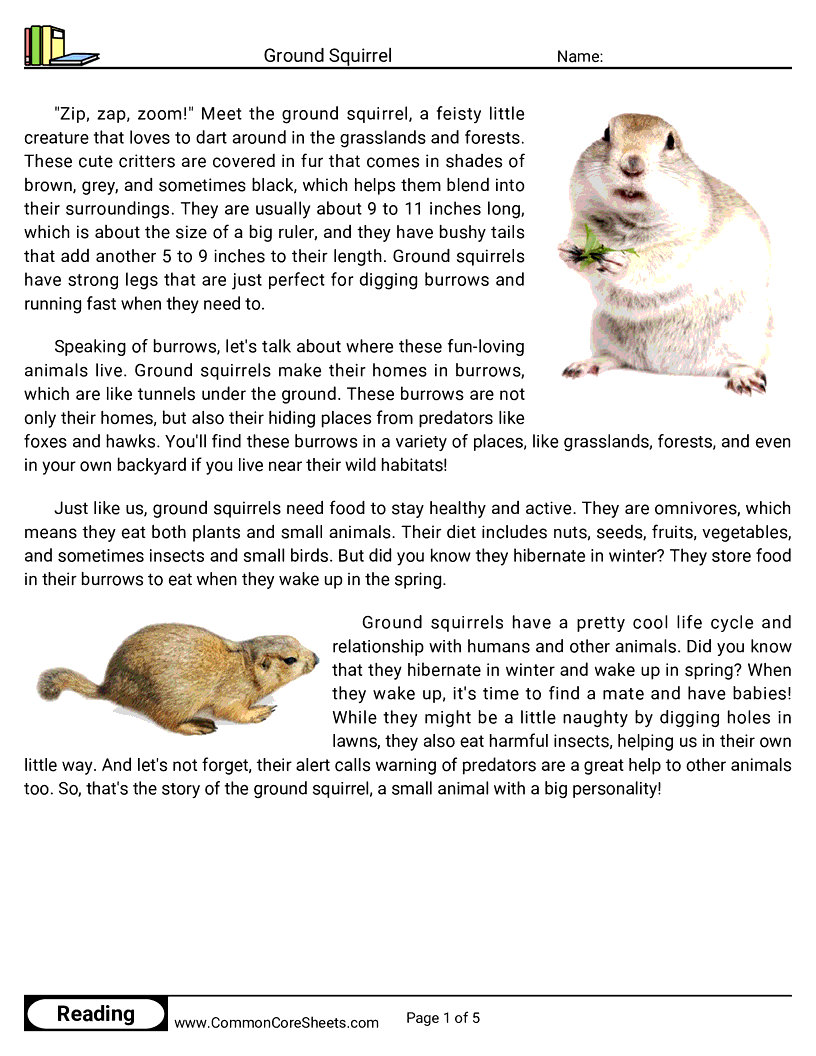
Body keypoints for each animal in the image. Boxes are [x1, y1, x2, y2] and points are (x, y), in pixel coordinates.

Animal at [37, 623, 318, 735]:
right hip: (173, 700)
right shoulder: (233, 691)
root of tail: (109, 687)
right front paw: (261, 711)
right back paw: (199, 725)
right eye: (290, 659)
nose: (317, 657)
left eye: (295, 638)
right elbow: (230, 710)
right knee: (168, 722)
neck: (245, 665)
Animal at [558, 113, 772, 394]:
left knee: (741, 364)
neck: (629, 222)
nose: (632, 164)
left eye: (670, 142)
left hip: (750, 340)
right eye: (606, 134)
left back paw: (745, 378)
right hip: (601, 328)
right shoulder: (581, 222)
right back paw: (586, 364)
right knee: (613, 357)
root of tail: (669, 367)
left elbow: (658, 263)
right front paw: (565, 250)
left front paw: (620, 262)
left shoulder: (688, 244)